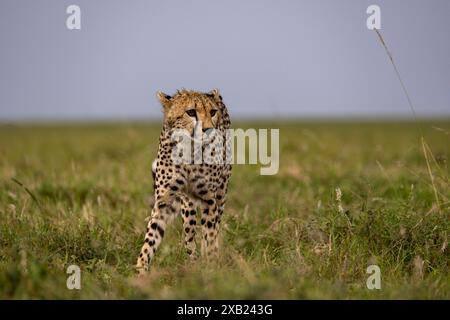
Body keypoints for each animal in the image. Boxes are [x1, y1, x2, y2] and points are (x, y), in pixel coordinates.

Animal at [137, 89, 232, 272]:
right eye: (191, 112)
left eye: (212, 112)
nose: (209, 130)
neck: (189, 150)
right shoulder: (164, 201)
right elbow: (151, 236)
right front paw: (140, 270)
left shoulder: (209, 200)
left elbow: (210, 234)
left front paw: (211, 266)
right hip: (188, 204)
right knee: (189, 234)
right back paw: (193, 261)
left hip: (221, 192)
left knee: (213, 226)